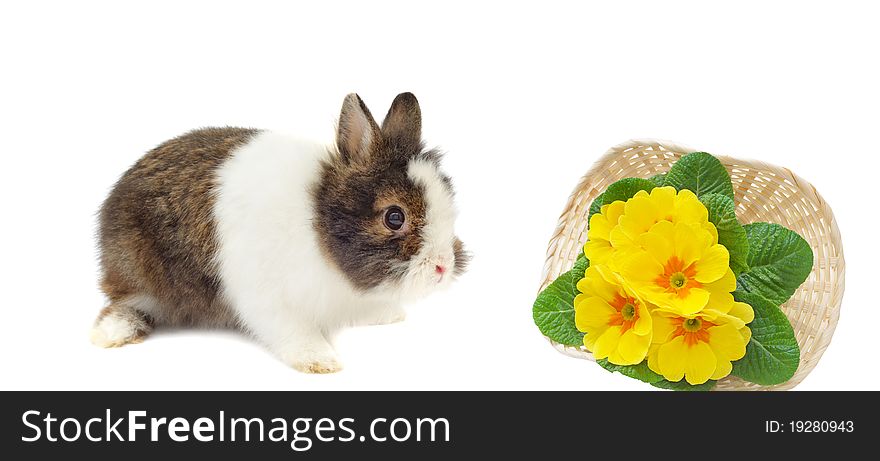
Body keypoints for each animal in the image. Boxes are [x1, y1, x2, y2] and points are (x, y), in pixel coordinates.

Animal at [91, 91, 468, 372]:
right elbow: (292, 330)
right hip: (136, 269)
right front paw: (320, 361)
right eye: (394, 217)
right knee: (125, 303)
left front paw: (387, 314)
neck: (316, 219)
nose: (443, 267)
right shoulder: (267, 297)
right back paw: (112, 333)